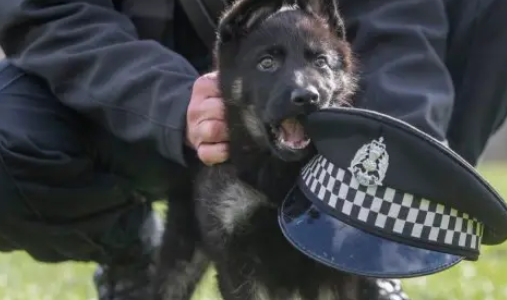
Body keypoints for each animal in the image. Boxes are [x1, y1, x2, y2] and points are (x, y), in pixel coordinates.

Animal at [153, 0, 364, 298]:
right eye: (267, 63)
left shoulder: (333, 265)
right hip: (182, 252)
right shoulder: (236, 255)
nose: (308, 97)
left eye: (321, 61)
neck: (281, 173)